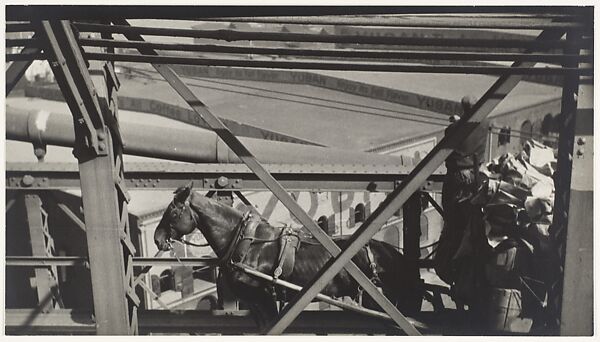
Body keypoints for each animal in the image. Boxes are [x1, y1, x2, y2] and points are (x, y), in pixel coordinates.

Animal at [155, 182, 418, 332]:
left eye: (174, 212)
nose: (158, 238)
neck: (246, 244)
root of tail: (389, 252)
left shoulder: (263, 296)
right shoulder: (254, 303)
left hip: (376, 298)